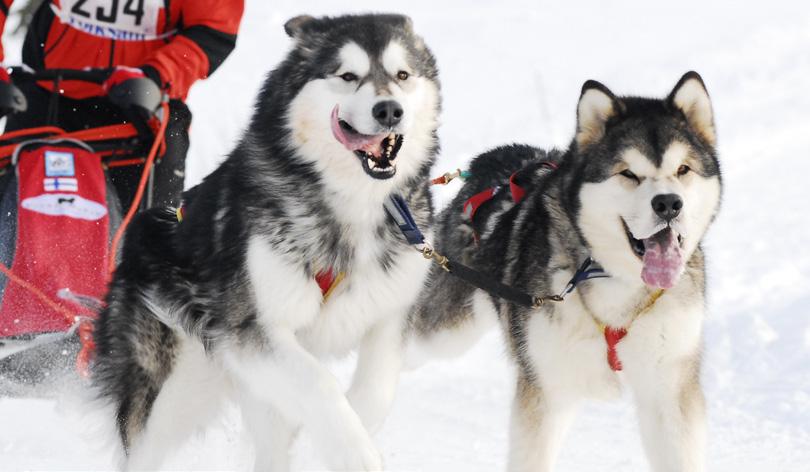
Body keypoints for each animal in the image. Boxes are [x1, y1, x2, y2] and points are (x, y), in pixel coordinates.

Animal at [91, 12, 438, 470]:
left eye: (402, 75)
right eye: (347, 76)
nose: (389, 110)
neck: (352, 204)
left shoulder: (389, 313)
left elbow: (374, 393)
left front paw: (344, 437)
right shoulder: (254, 333)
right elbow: (322, 386)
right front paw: (354, 452)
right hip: (175, 392)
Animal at [410, 72, 720, 470]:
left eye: (683, 169)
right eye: (628, 174)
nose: (668, 204)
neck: (615, 281)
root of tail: (493, 161)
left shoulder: (670, 389)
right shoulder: (545, 389)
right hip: (445, 329)